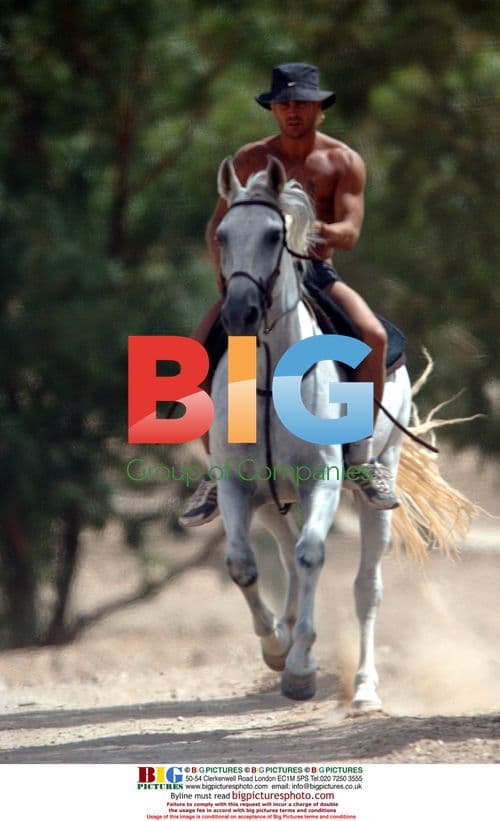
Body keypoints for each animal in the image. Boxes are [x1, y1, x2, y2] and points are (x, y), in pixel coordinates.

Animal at [209, 155, 412, 710]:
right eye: (223, 235)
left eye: (274, 235)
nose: (240, 312)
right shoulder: (236, 485)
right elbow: (243, 564)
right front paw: (277, 648)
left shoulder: (322, 481)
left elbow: (312, 554)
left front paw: (300, 668)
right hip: (271, 500)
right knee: (284, 552)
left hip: (376, 489)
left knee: (365, 587)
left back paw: (364, 690)